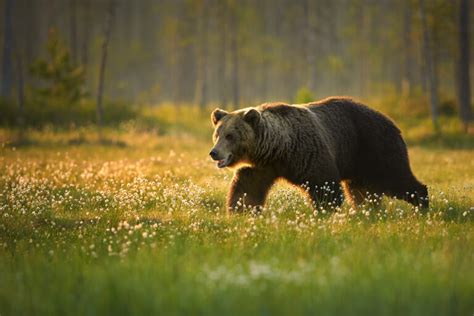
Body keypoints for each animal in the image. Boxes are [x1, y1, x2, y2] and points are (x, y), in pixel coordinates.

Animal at [209, 97, 428, 212]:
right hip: (358, 163)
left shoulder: (307, 154)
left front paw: (324, 211)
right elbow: (247, 188)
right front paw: (241, 210)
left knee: (395, 177)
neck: (278, 148)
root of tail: (391, 121)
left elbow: (324, 185)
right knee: (360, 191)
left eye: (230, 135)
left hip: (375, 147)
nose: (214, 153)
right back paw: (367, 211)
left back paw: (421, 205)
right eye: (217, 134)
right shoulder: (262, 167)